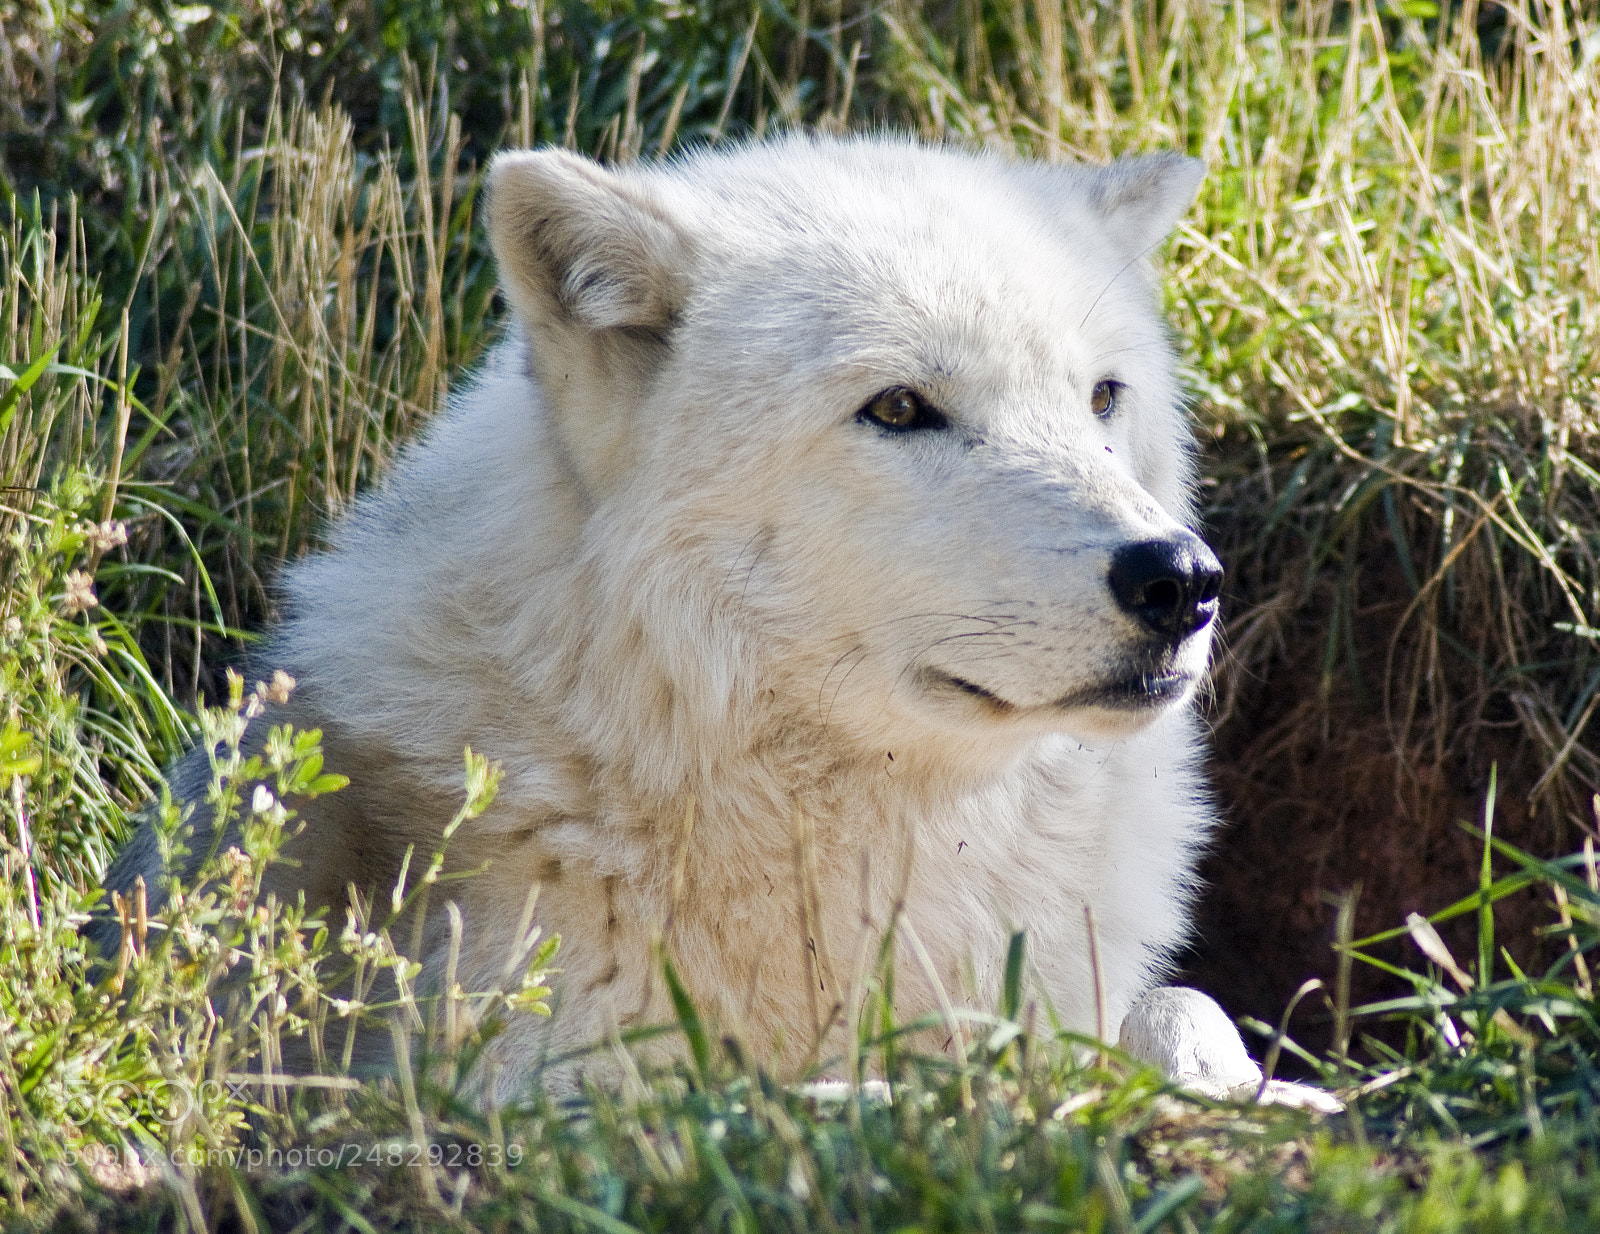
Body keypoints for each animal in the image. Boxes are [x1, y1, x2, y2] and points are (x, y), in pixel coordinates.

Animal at [98, 135, 1323, 1105]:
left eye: (1102, 397)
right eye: (898, 407)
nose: (1180, 580)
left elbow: (1178, 1012)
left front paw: (1245, 1083)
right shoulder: (544, 1071)